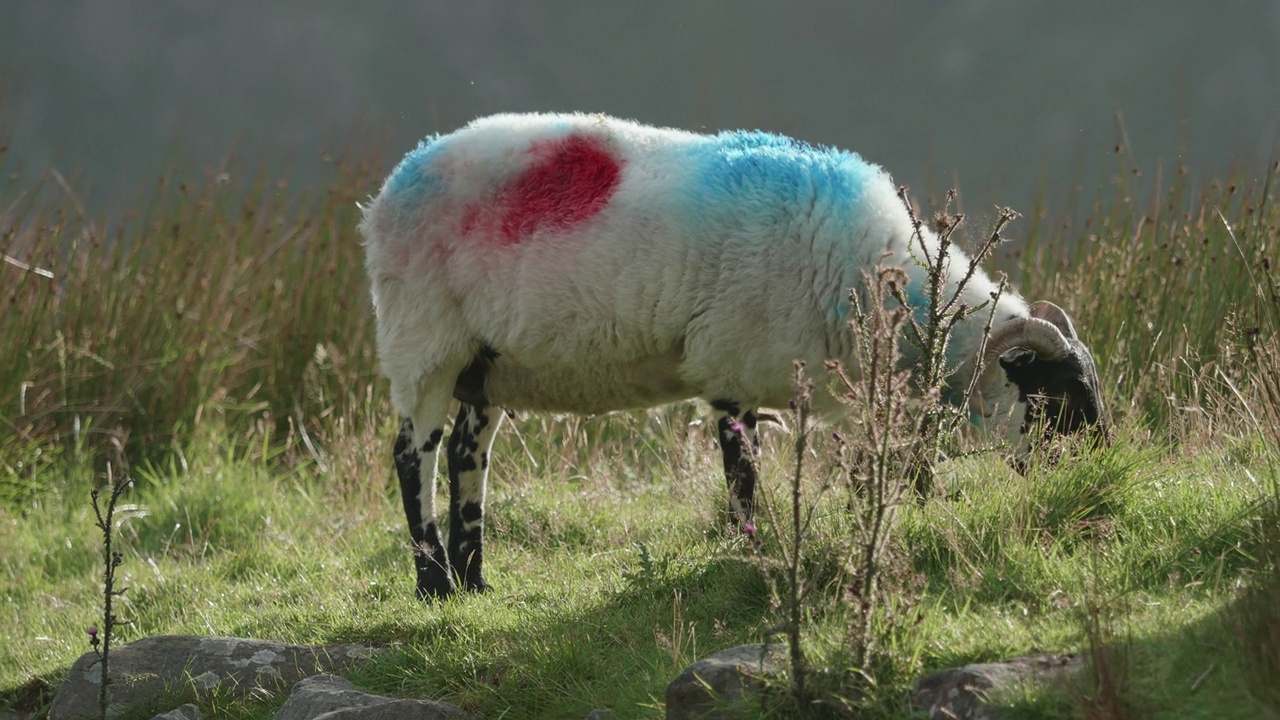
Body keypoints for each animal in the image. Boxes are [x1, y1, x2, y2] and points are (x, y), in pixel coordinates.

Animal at [360, 113, 1111, 599]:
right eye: (1056, 392)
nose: (1104, 472)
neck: (877, 282)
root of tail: (394, 183)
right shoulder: (731, 371)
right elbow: (743, 478)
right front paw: (750, 553)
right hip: (423, 337)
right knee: (413, 454)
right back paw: (433, 583)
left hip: (485, 363)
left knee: (467, 454)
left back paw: (475, 581)